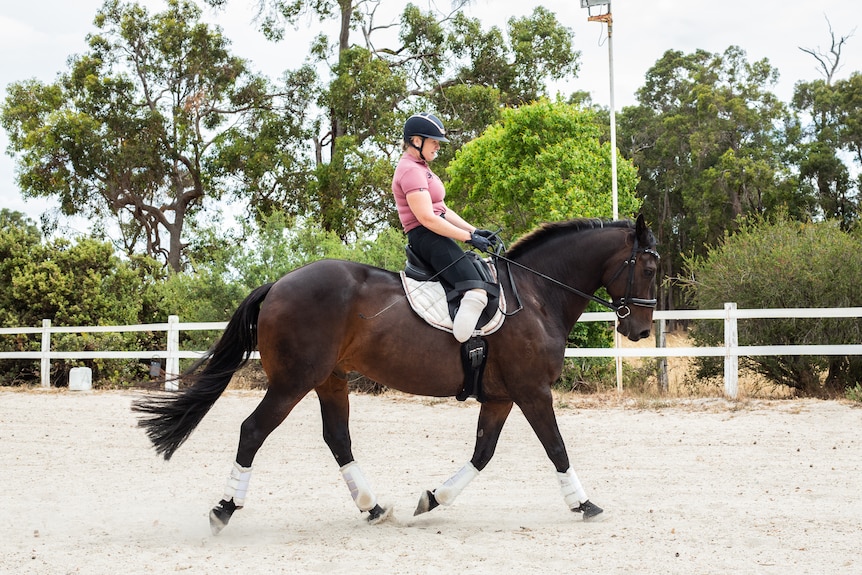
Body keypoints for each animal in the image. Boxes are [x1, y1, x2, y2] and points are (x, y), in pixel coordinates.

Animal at [133, 215, 660, 536]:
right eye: (650, 268)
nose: (639, 329)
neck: (534, 296)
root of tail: (280, 282)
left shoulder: (501, 397)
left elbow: (483, 453)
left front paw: (432, 498)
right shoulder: (533, 392)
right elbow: (557, 448)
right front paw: (585, 505)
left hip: (330, 380)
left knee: (337, 438)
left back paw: (371, 506)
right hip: (293, 382)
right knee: (253, 431)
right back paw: (224, 509)